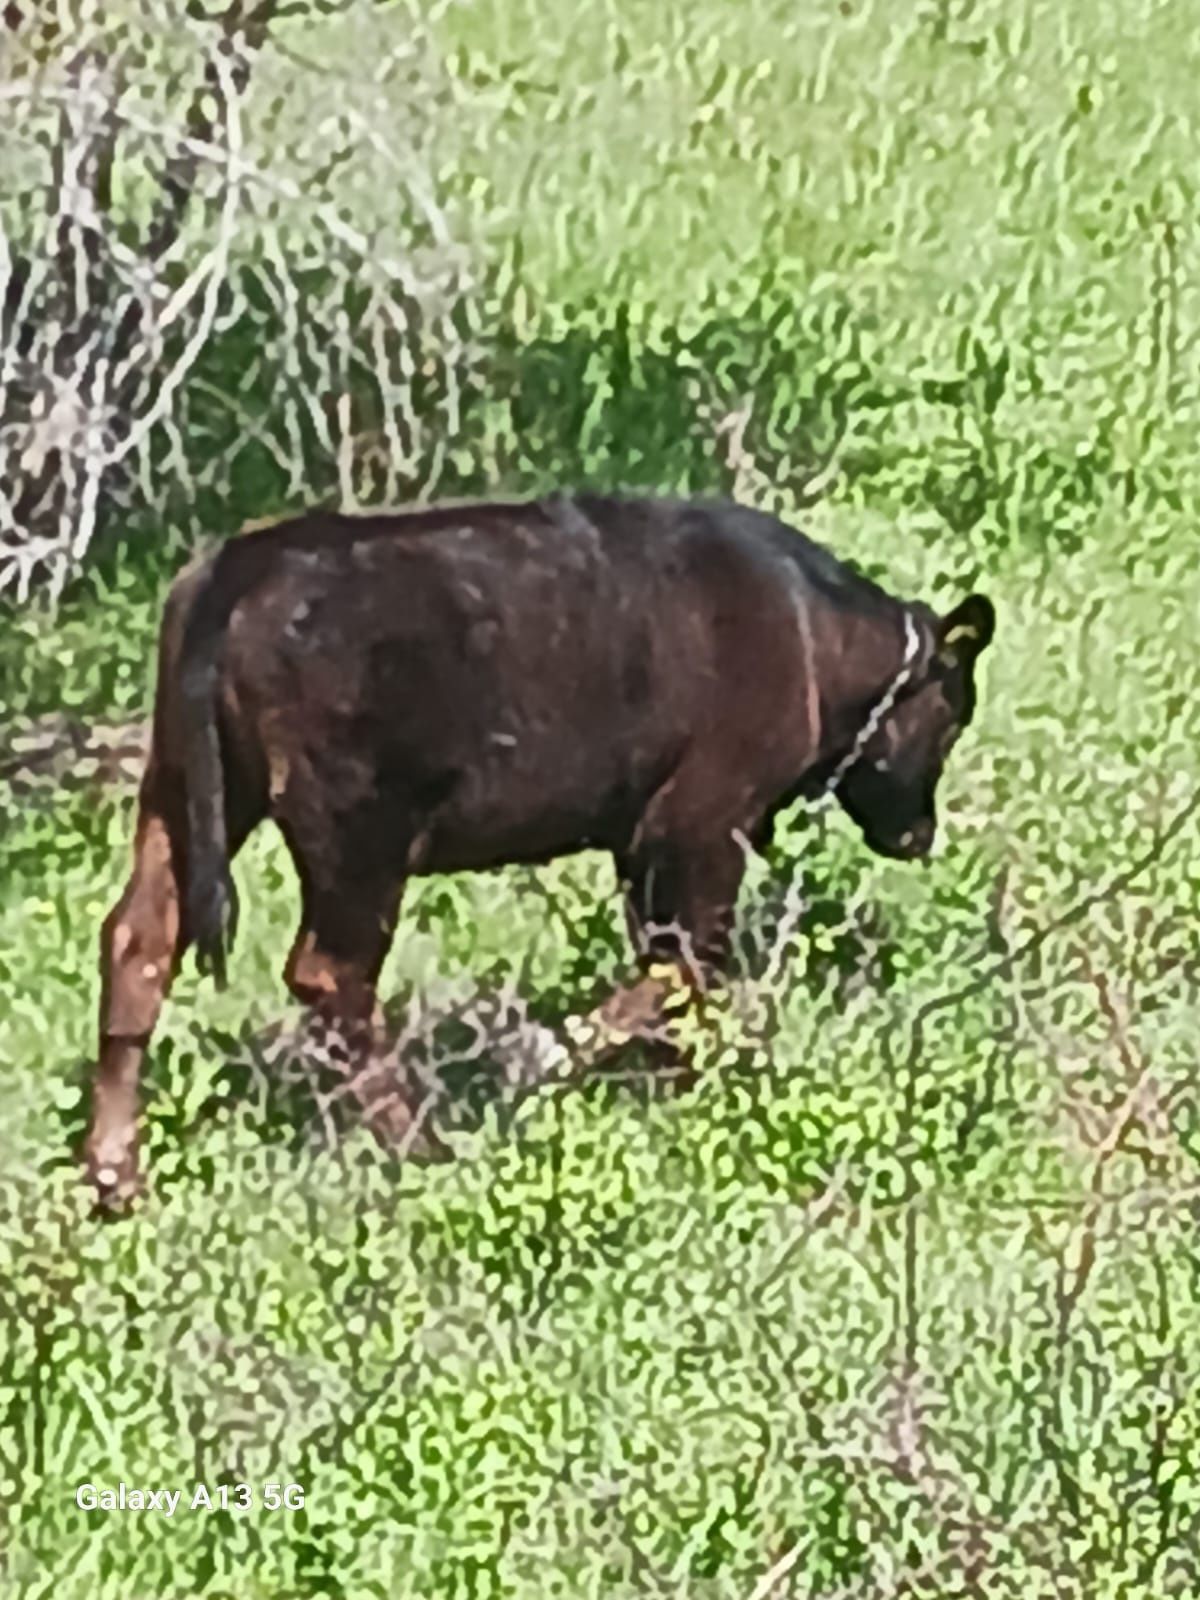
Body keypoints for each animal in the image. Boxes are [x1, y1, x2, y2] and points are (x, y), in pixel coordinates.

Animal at [84, 492, 998, 1203]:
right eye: (952, 715)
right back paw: (423, 1147)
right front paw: (557, 1054)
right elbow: (687, 965)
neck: (815, 633)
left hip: (182, 794)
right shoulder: (705, 826)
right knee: (330, 978)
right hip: (358, 841)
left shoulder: (646, 845)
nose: (918, 832)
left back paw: (114, 1175)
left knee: (140, 940)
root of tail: (242, 566)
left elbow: (666, 963)